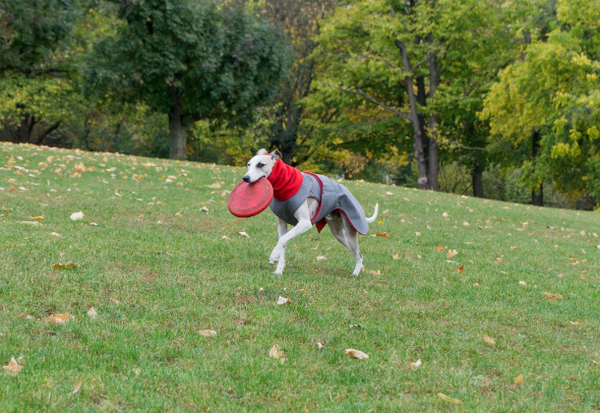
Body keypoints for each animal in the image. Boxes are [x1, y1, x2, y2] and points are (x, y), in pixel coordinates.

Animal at [241, 148, 378, 274]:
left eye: (260, 164)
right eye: (248, 164)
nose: (245, 178)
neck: (285, 185)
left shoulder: (304, 223)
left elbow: (283, 239)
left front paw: (273, 256)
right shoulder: (281, 225)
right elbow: (283, 242)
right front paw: (279, 270)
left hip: (350, 232)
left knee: (359, 255)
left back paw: (355, 273)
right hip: (339, 234)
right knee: (357, 253)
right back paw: (361, 268)